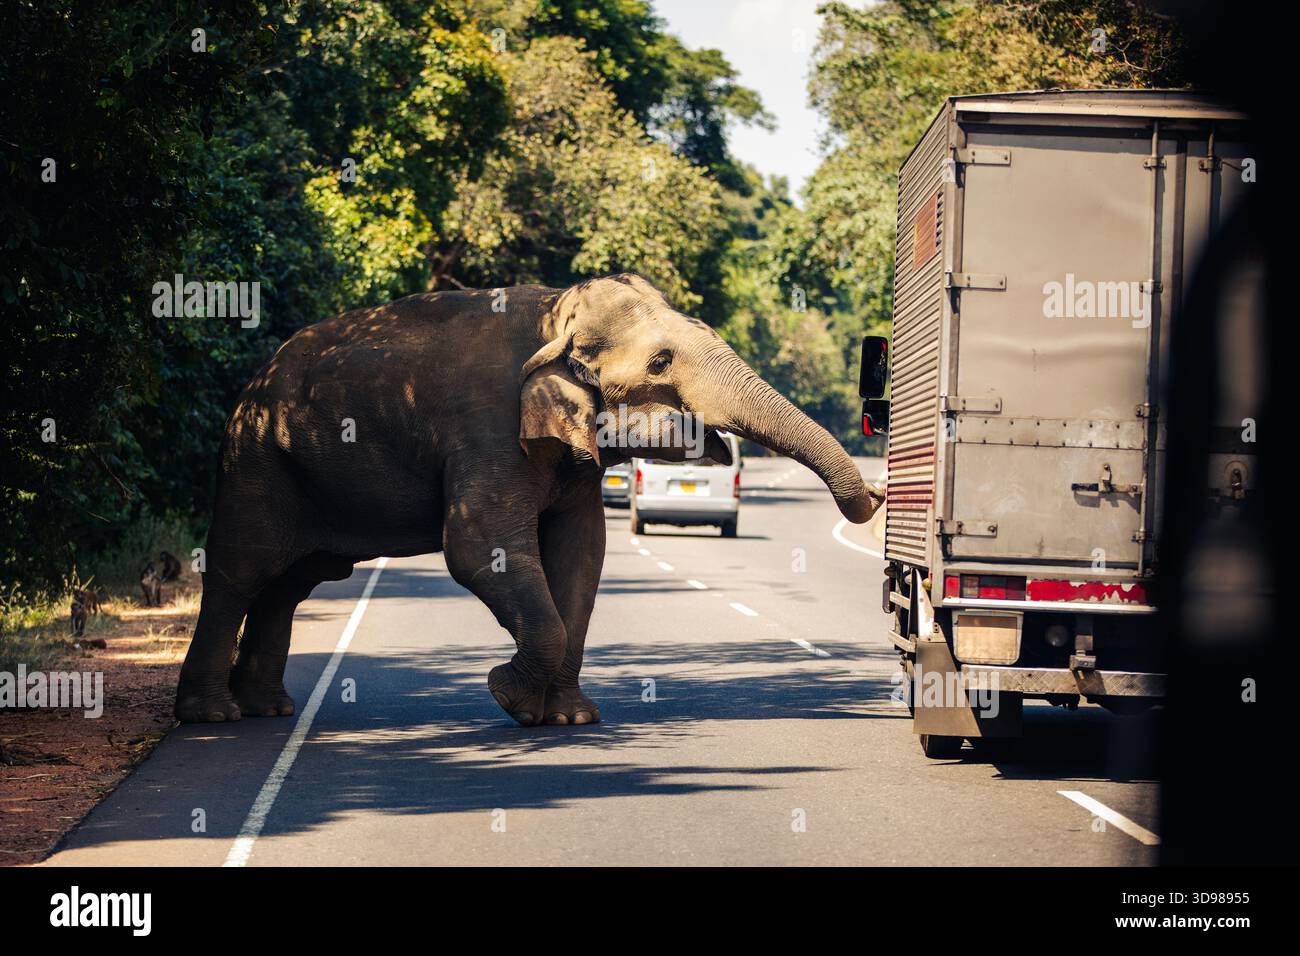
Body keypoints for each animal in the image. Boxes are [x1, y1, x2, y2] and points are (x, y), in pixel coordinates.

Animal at [174, 274, 884, 726]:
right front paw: (505, 695)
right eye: (659, 362)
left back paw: (268, 708)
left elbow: (583, 553)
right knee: (242, 568)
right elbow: (477, 547)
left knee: (291, 582)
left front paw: (568, 719)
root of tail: (255, 381)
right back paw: (214, 716)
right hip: (255, 458)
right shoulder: (487, 427)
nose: (875, 497)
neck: (553, 312)